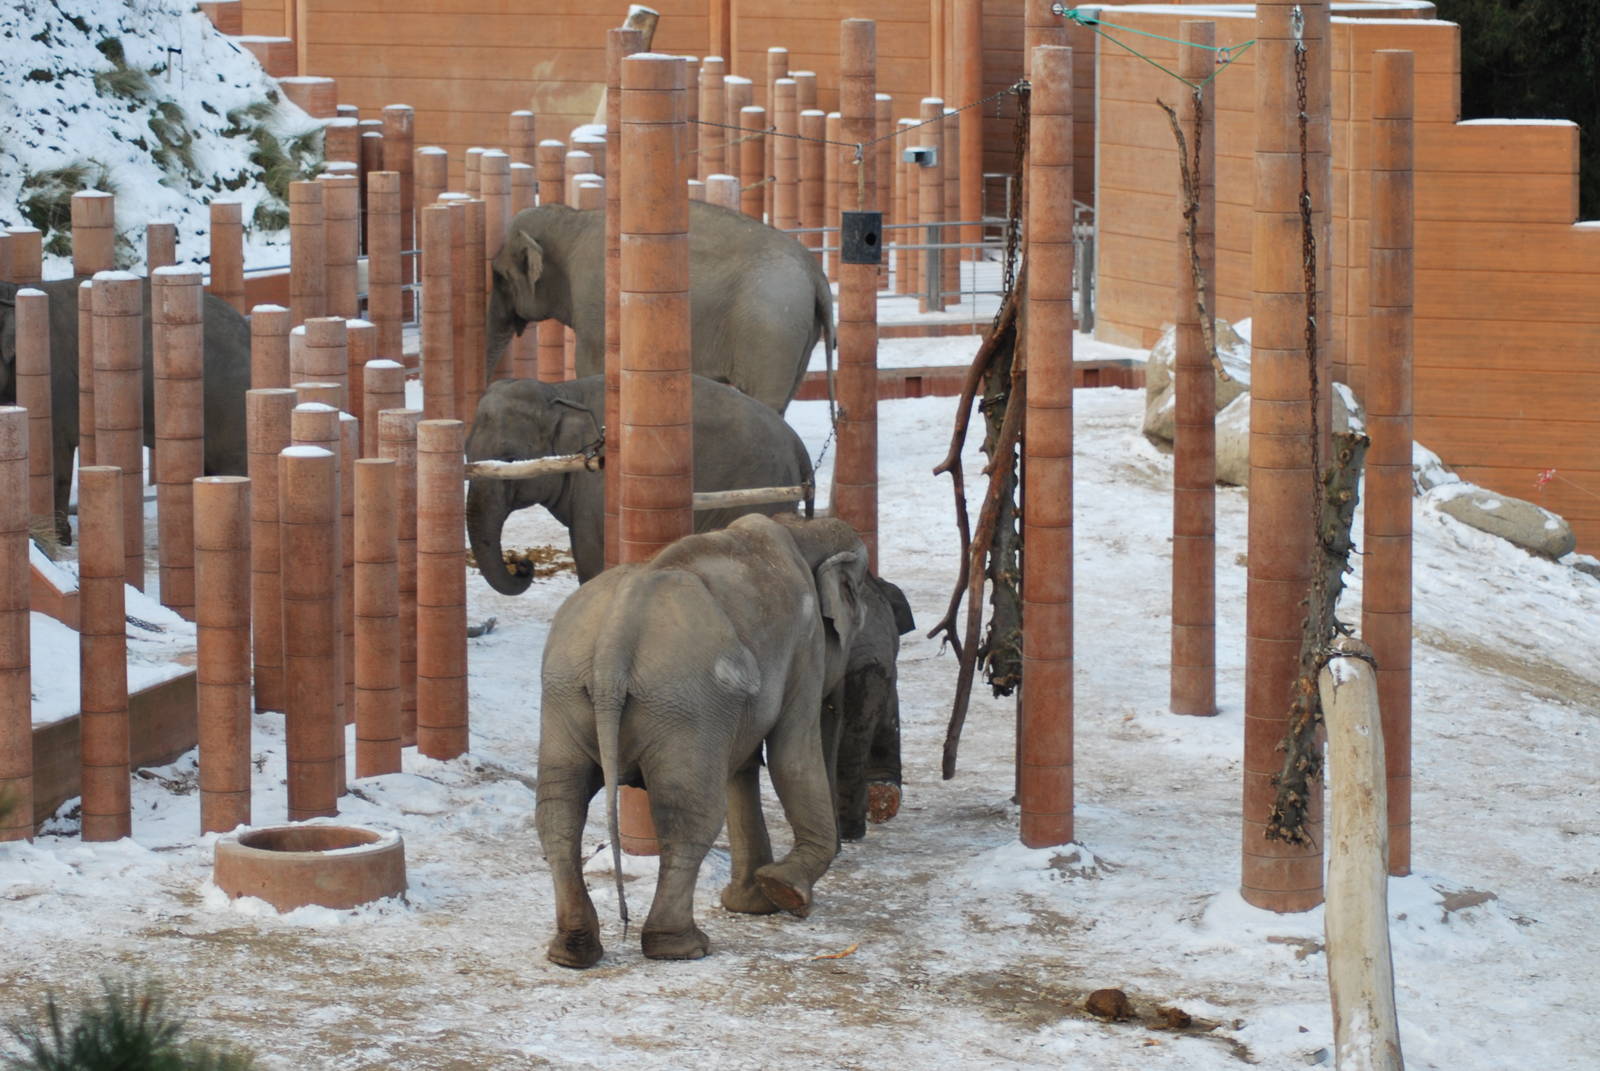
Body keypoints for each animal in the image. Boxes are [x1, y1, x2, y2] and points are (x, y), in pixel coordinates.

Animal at [466, 374, 814, 590]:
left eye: (510, 458)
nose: (522, 564)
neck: (561, 390)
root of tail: (796, 442)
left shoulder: (598, 486)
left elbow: (590, 552)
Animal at [486, 200, 833, 413]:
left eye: (500, 276)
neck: (574, 220)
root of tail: (815, 272)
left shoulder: (594, 308)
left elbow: (592, 367)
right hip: (796, 331)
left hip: (771, 327)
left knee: (765, 398)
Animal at [536, 513, 870, 967]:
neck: (804, 527)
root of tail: (614, 642)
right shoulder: (805, 646)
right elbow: (792, 757)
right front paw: (781, 891)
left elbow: (743, 766)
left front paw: (751, 902)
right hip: (683, 702)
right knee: (689, 815)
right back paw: (683, 946)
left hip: (565, 691)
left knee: (559, 808)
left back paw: (573, 952)